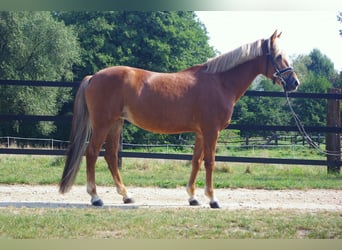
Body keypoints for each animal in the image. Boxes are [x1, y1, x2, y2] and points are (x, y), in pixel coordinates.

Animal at [60, 30, 300, 208]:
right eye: (278, 56)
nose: (294, 83)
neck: (219, 82)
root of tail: (94, 77)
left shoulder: (201, 133)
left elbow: (196, 162)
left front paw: (193, 197)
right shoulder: (212, 131)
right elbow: (210, 162)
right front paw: (213, 199)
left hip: (116, 124)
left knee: (110, 156)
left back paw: (126, 195)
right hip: (103, 124)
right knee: (92, 154)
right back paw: (95, 197)